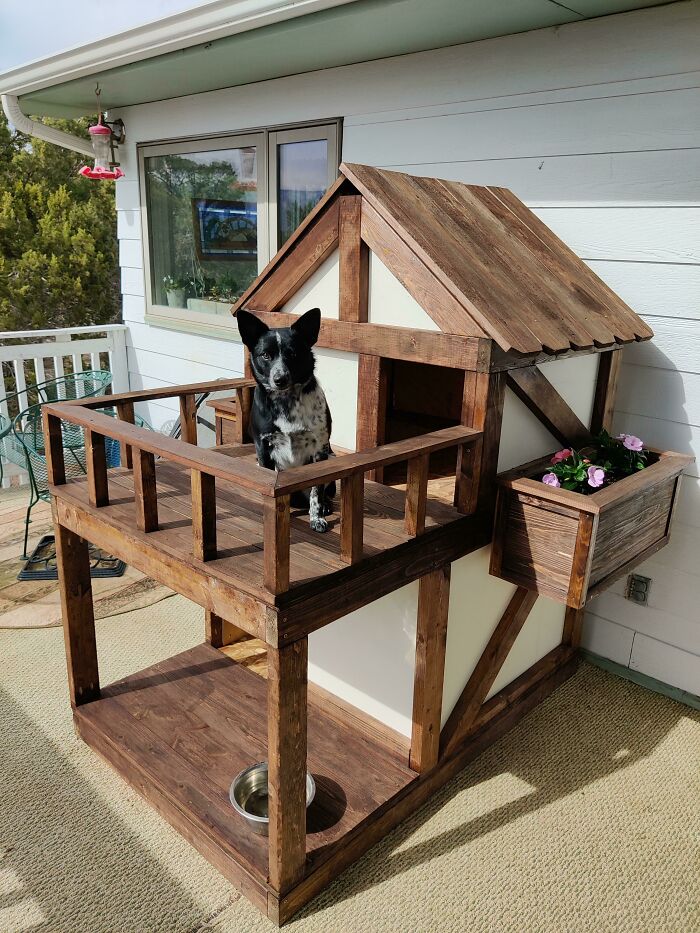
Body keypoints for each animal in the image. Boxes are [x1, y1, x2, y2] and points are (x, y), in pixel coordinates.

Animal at [237, 308, 334, 532]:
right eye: (265, 355)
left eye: (293, 353)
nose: (279, 379)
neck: (286, 401)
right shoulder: (262, 447)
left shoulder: (320, 449)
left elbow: (316, 492)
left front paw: (316, 517)